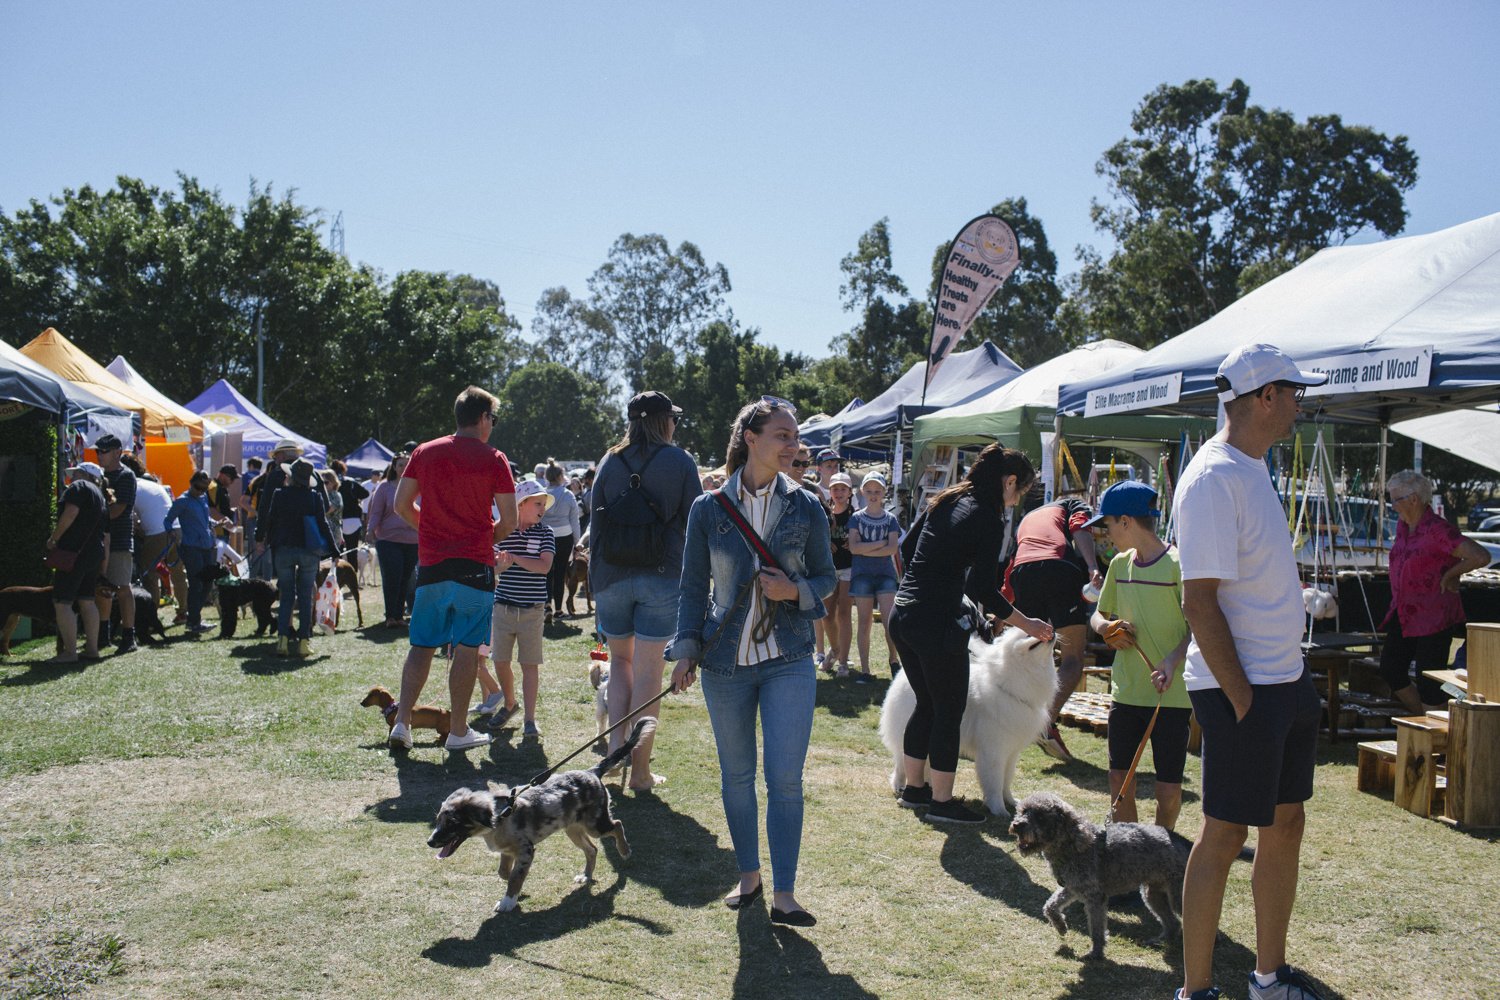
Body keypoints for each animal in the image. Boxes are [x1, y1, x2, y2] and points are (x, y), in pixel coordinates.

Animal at [876, 629, 1062, 815]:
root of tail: (901, 676)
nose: (1052, 630)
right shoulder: (994, 751)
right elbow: (995, 782)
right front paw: (999, 810)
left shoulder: (1012, 751)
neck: (1011, 686)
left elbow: (1007, 779)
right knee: (902, 763)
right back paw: (900, 787)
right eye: (1027, 634)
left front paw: (1012, 801)